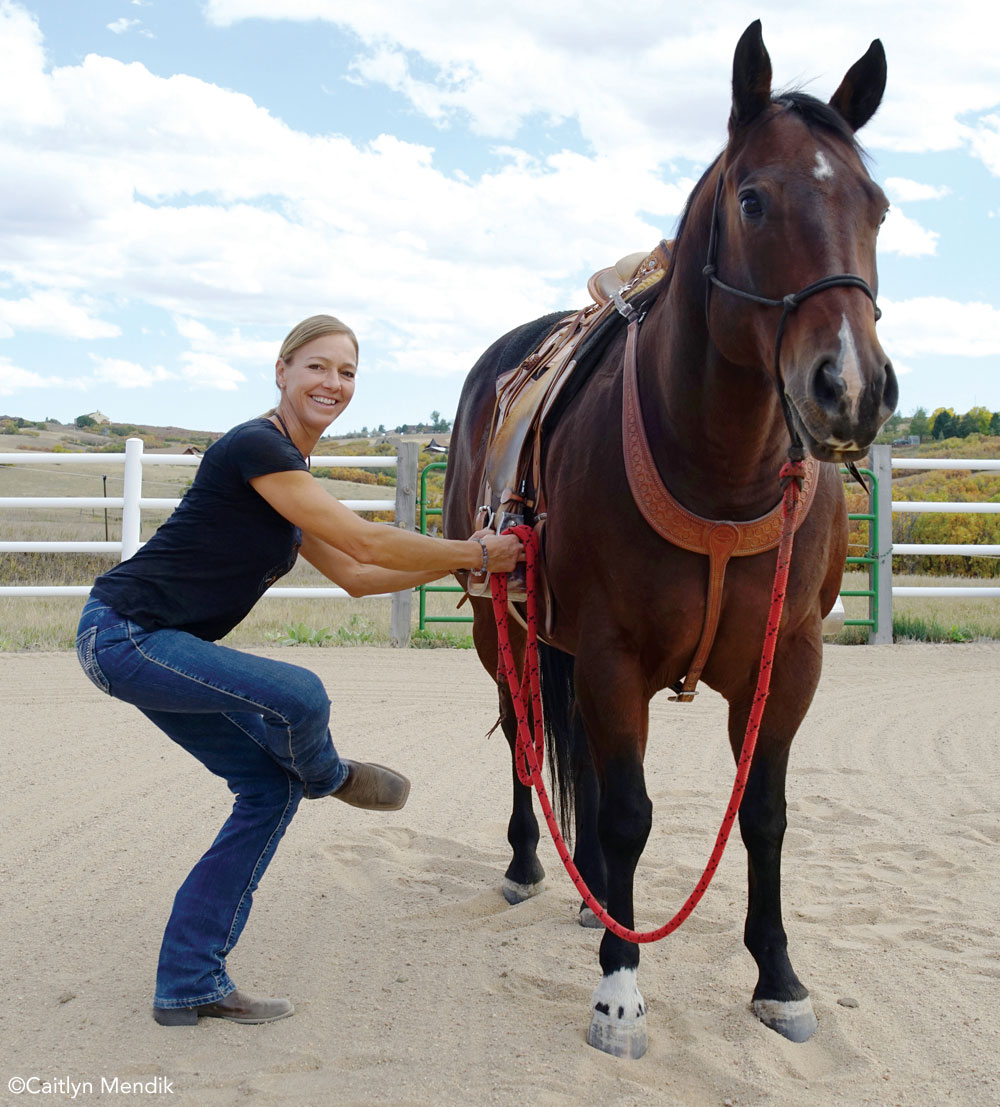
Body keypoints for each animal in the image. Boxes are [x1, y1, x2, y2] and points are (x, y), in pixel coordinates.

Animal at [442, 15, 894, 1053]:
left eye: (880, 207)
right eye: (754, 198)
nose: (850, 386)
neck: (719, 471)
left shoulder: (789, 660)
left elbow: (762, 813)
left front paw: (778, 976)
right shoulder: (611, 655)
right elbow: (629, 816)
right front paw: (619, 987)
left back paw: (596, 899)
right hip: (500, 627)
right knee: (528, 740)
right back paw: (532, 868)